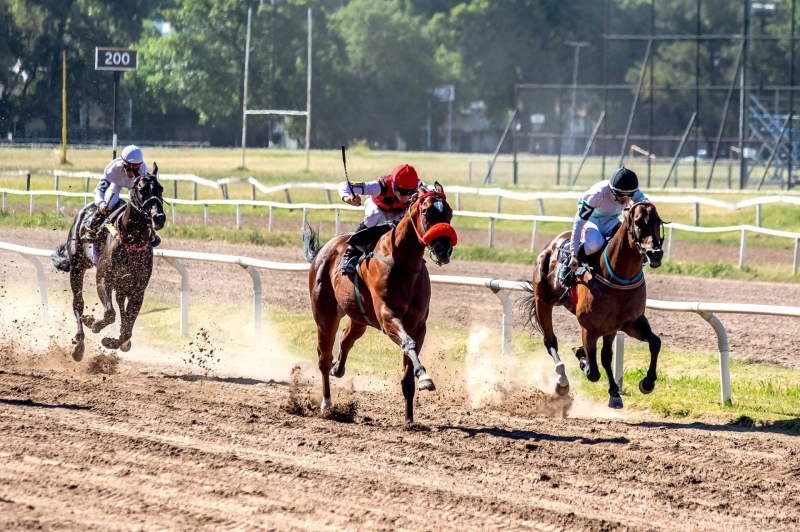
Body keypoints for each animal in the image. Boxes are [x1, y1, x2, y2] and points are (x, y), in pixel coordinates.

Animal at [304, 184, 456, 424]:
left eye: (449, 213)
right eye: (426, 212)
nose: (444, 249)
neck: (404, 264)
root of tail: (323, 250)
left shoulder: (418, 325)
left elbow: (408, 369)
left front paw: (410, 419)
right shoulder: (387, 316)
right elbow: (408, 343)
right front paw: (425, 376)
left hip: (359, 316)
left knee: (346, 339)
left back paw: (338, 369)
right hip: (324, 314)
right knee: (324, 357)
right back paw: (327, 402)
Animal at [520, 200, 664, 408]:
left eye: (658, 221)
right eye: (638, 222)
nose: (655, 254)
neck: (618, 278)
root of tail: (553, 243)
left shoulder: (629, 323)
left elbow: (653, 343)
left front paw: (644, 383)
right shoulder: (589, 327)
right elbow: (593, 372)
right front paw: (584, 360)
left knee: (606, 354)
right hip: (543, 302)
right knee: (550, 341)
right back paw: (562, 380)